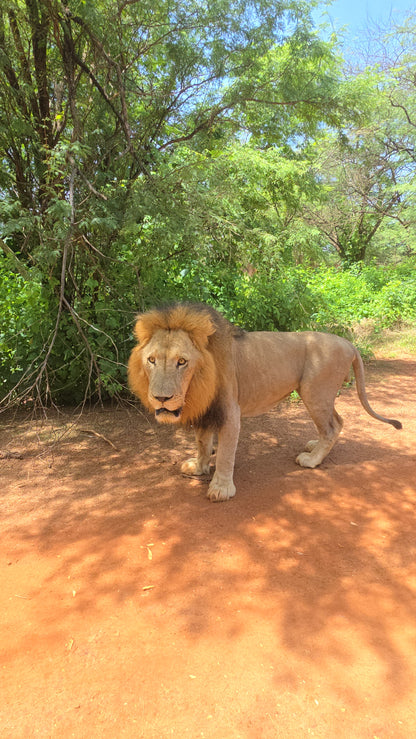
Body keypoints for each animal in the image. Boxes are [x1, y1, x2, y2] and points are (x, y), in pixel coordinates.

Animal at [127, 302, 402, 501]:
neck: (199, 381)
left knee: (332, 426)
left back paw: (311, 460)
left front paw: (221, 488)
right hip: (320, 394)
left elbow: (225, 453)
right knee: (338, 421)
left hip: (314, 392)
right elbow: (203, 442)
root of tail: (349, 344)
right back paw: (314, 446)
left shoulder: (229, 411)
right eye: (152, 360)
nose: (161, 398)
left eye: (182, 362)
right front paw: (199, 466)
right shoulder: (206, 410)